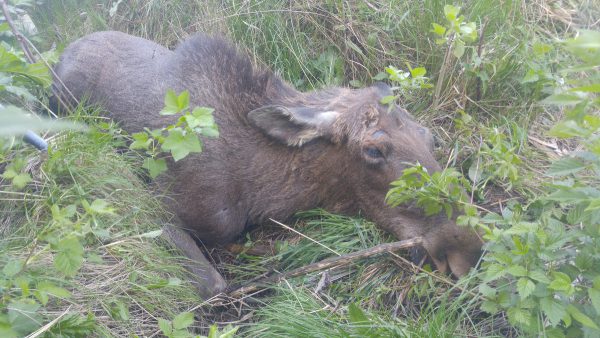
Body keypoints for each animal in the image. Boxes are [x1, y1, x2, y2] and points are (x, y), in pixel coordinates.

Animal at [52, 30, 482, 298]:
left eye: (429, 137)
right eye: (374, 151)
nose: (470, 248)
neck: (266, 188)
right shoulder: (161, 203)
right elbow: (215, 283)